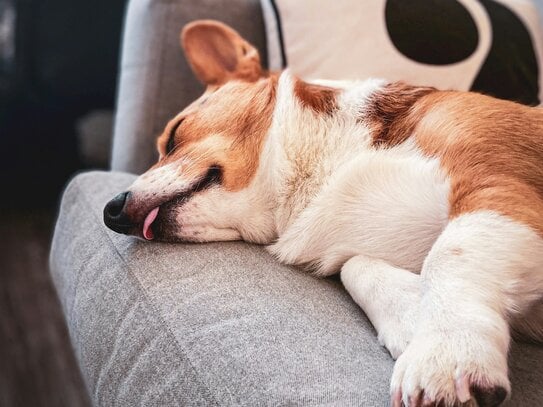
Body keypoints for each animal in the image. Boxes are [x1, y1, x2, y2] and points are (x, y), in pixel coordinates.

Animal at [103, 19, 543, 407]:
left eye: (174, 135)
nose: (111, 211)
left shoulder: (495, 184)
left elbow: (449, 256)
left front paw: (446, 354)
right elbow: (357, 268)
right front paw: (411, 319)